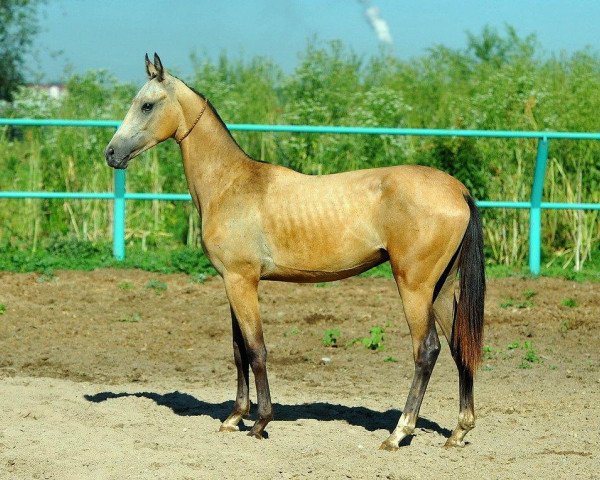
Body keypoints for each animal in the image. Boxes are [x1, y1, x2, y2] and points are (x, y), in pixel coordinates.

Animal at [105, 54, 486, 452]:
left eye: (147, 105)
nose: (111, 153)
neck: (230, 183)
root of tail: (458, 190)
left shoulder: (242, 282)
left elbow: (256, 350)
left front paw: (260, 422)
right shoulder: (232, 283)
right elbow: (239, 350)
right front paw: (234, 418)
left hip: (414, 287)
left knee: (426, 350)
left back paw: (399, 432)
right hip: (441, 288)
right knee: (460, 346)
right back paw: (459, 431)